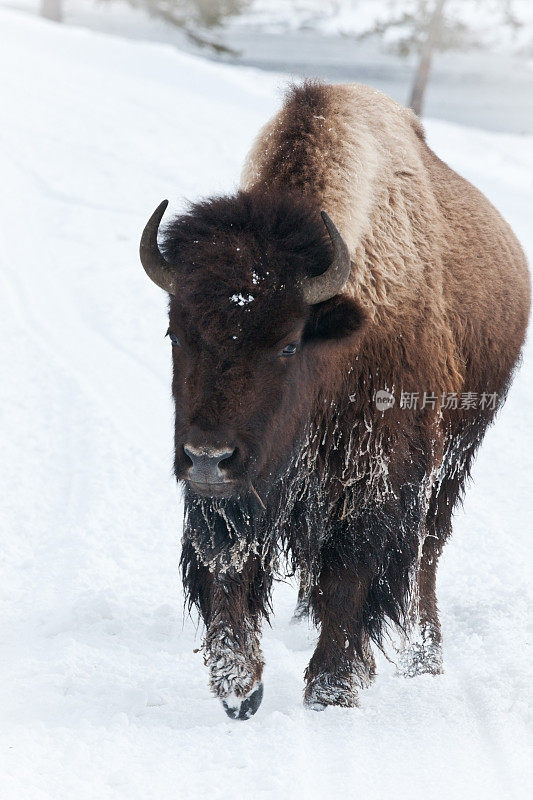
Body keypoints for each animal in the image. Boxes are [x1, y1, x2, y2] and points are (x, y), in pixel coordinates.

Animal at [137, 79, 528, 720]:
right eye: (175, 333)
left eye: (289, 343)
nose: (208, 459)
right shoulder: (237, 492)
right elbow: (229, 565)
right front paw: (238, 686)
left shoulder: (378, 480)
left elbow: (352, 575)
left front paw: (331, 690)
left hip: (457, 457)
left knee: (427, 554)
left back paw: (424, 658)